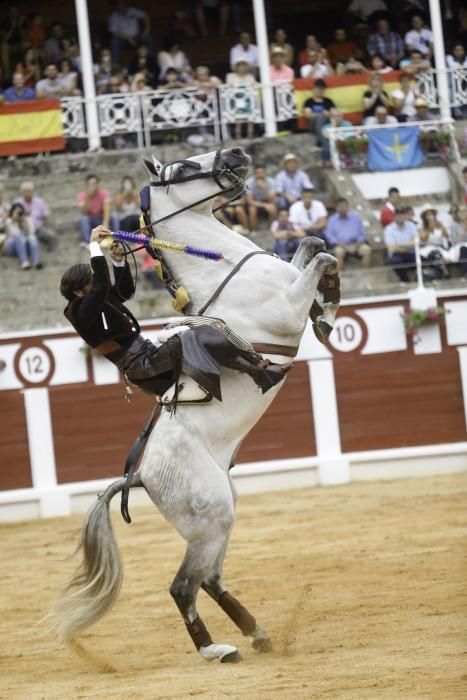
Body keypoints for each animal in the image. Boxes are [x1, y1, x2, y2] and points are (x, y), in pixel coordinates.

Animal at [48, 146, 340, 660]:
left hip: (223, 513)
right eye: (182, 167)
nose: (237, 153)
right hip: (210, 518)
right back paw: (215, 649)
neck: (223, 264)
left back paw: (255, 632)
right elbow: (320, 256)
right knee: (183, 586)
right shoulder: (285, 311)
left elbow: (312, 241)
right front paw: (327, 311)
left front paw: (327, 304)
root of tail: (140, 475)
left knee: (209, 579)